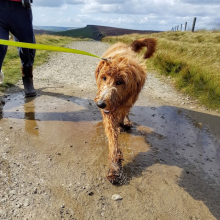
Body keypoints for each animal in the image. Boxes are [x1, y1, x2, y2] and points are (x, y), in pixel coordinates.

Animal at [94, 38, 156, 184]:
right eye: (104, 77)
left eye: (120, 81)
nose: (101, 104)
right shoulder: (108, 113)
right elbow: (112, 137)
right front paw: (115, 166)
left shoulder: (126, 103)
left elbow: (122, 114)